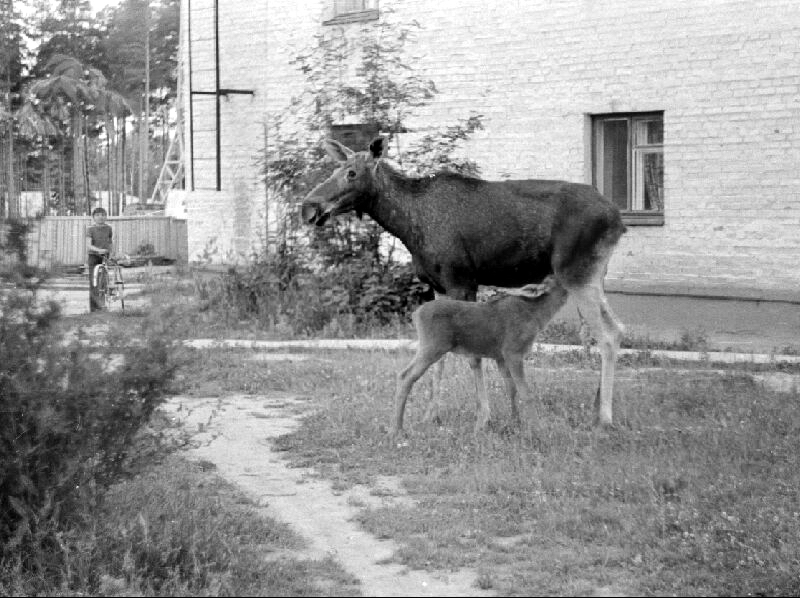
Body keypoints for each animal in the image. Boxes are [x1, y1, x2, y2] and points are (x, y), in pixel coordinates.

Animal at [390, 278, 568, 440]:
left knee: (405, 374)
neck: (537, 315)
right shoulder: (513, 351)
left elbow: (511, 389)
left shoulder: (500, 356)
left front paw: (515, 423)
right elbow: (527, 393)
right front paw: (540, 430)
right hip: (432, 346)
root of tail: (416, 314)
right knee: (406, 375)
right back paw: (397, 430)